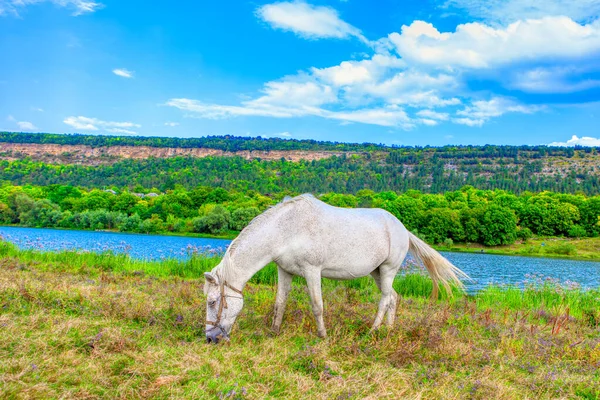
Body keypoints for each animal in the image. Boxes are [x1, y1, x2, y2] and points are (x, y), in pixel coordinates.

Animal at [204, 195, 466, 344]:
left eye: (213, 301)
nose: (210, 338)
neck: (287, 228)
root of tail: (403, 229)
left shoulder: (312, 271)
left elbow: (317, 306)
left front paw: (323, 337)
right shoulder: (284, 271)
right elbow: (280, 302)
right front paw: (274, 332)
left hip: (389, 270)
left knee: (384, 300)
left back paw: (372, 332)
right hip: (378, 272)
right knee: (393, 297)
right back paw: (388, 331)